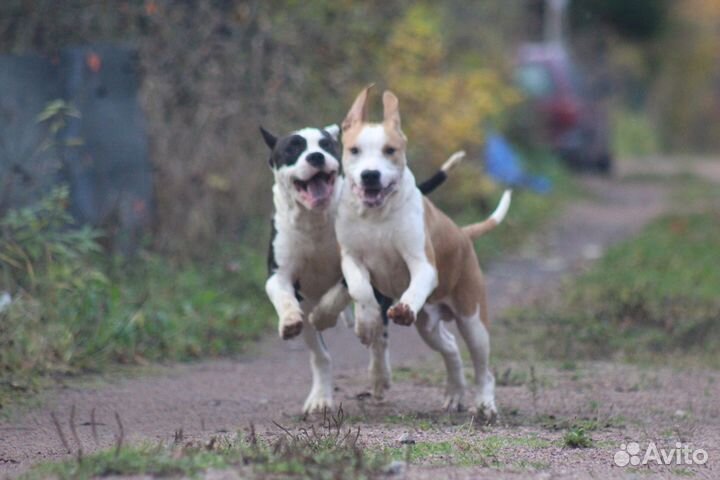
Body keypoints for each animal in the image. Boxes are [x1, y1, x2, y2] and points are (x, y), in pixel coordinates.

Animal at [262, 124, 464, 412]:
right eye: (293, 148)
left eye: (326, 145)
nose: (316, 157)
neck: (315, 222)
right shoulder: (279, 274)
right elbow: (285, 299)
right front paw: (289, 319)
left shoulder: (356, 263)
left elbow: (341, 295)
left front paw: (328, 314)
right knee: (324, 348)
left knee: (380, 338)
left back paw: (379, 374)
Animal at [336, 86, 512, 420]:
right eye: (354, 151)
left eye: (390, 150)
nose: (370, 175)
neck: (377, 216)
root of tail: (463, 233)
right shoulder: (351, 258)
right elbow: (360, 289)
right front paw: (367, 324)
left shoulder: (422, 264)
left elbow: (416, 284)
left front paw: (402, 308)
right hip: (429, 324)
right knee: (451, 348)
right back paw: (454, 395)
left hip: (472, 319)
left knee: (483, 366)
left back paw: (485, 405)